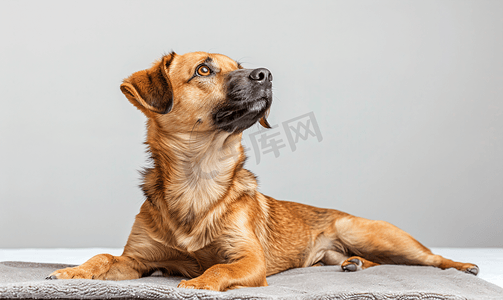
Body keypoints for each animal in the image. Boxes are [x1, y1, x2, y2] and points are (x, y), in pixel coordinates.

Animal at [47, 51, 480, 290]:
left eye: (239, 66)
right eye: (203, 70)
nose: (266, 74)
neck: (198, 175)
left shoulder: (248, 259)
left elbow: (219, 267)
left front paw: (198, 283)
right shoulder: (137, 260)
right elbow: (102, 257)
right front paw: (73, 272)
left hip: (374, 235)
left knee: (430, 259)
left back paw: (462, 265)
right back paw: (351, 263)